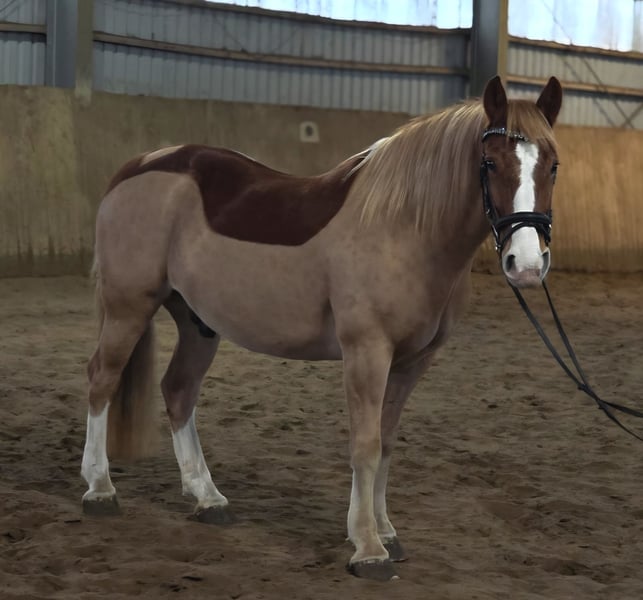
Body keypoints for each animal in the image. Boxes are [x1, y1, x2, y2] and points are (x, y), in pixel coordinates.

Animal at [81, 75, 562, 581]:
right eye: (490, 163)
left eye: (552, 165)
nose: (527, 265)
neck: (405, 226)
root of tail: (138, 166)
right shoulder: (367, 351)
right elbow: (366, 444)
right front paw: (368, 547)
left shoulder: (412, 361)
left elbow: (387, 441)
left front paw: (386, 532)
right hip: (128, 308)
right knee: (102, 380)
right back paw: (100, 489)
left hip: (198, 323)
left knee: (178, 390)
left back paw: (207, 498)